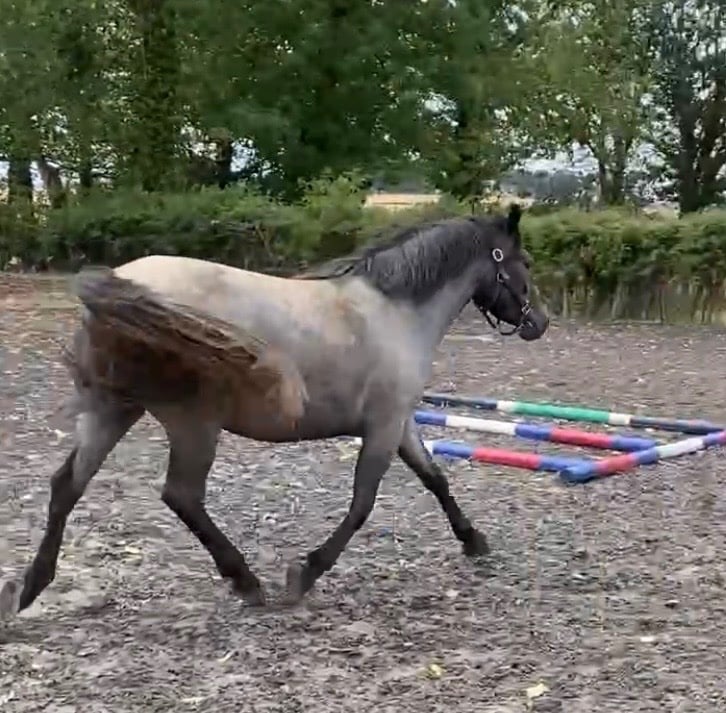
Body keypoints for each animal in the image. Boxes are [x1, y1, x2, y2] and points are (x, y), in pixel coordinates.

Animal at [0, 204, 548, 619]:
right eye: (522, 261)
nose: (538, 322)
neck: (394, 310)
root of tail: (116, 286)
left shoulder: (401, 423)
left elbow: (435, 478)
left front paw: (474, 541)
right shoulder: (383, 425)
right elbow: (362, 504)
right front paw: (304, 574)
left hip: (114, 410)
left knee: (67, 486)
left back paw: (29, 589)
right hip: (191, 421)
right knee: (182, 495)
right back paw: (246, 581)